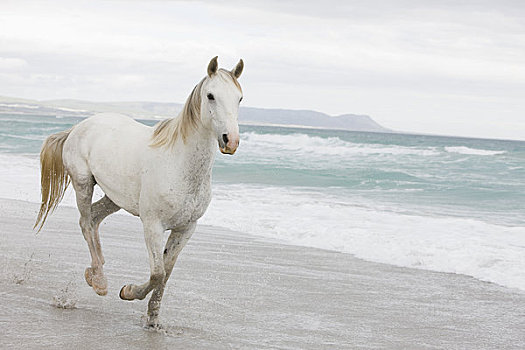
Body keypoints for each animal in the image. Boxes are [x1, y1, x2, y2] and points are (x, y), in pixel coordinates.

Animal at [34, 56, 244, 326]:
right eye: (211, 96)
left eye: (239, 98)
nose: (231, 141)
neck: (178, 162)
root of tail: (78, 127)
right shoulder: (152, 225)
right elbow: (157, 273)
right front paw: (128, 291)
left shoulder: (186, 228)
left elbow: (167, 273)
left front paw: (153, 320)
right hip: (83, 183)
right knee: (85, 222)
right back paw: (99, 281)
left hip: (114, 198)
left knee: (94, 218)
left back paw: (95, 272)